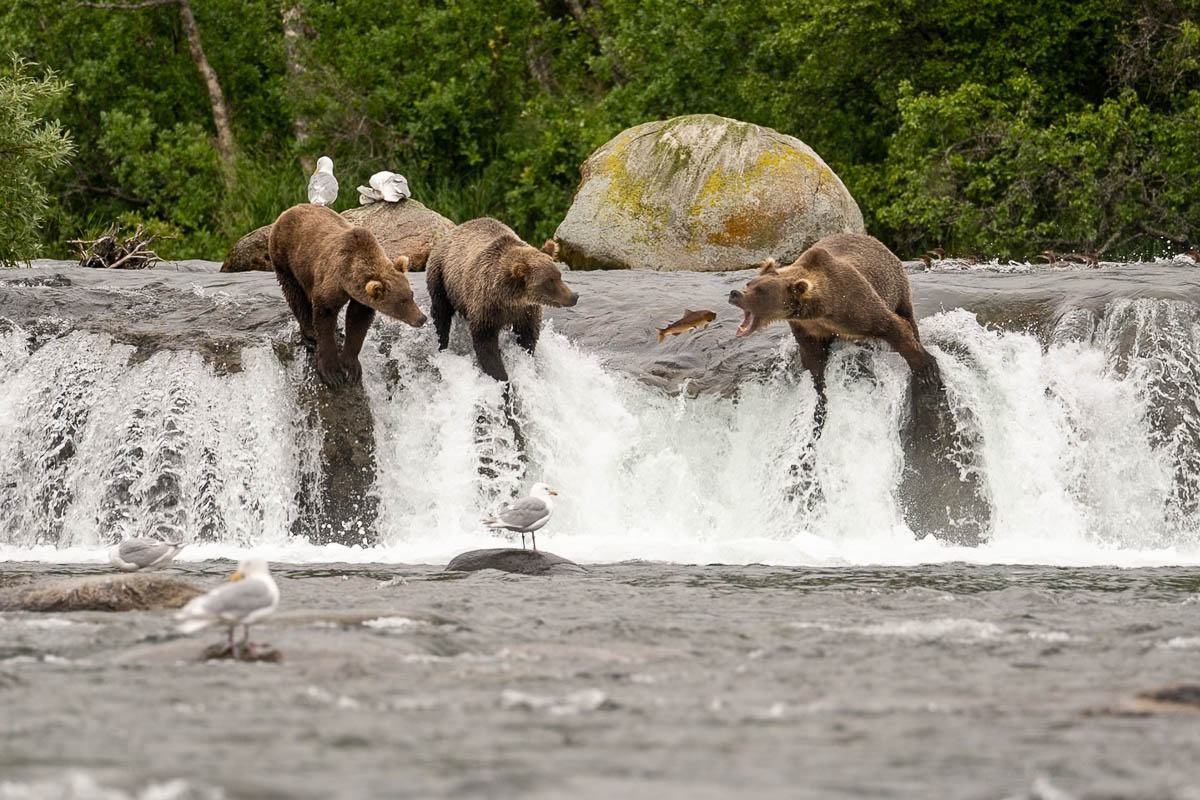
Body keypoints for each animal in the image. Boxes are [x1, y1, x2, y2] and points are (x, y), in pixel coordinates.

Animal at [268, 203, 427, 387]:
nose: (422, 318)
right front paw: (332, 373)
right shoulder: (332, 279)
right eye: (401, 301)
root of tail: (289, 210)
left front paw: (351, 368)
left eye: (411, 295)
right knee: (294, 293)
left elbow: (357, 321)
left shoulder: (362, 298)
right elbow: (325, 315)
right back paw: (309, 333)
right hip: (285, 257)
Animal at [426, 217, 579, 382]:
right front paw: (502, 377)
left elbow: (528, 337)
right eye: (549, 281)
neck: (509, 298)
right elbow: (486, 345)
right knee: (441, 313)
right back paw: (441, 344)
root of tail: (451, 231)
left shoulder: (526, 311)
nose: (573, 296)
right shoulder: (486, 308)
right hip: (441, 276)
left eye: (559, 275)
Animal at [728, 233, 940, 398]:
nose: (734, 293)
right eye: (750, 284)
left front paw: (927, 370)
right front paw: (818, 383)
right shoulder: (808, 326)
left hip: (896, 285)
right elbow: (812, 355)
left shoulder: (854, 305)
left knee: (907, 314)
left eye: (760, 291)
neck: (823, 309)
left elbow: (893, 326)